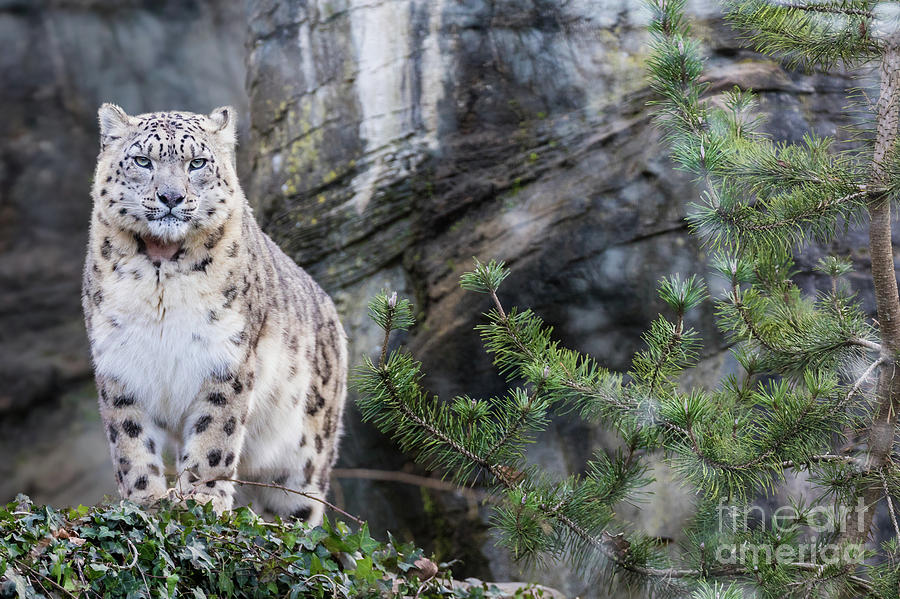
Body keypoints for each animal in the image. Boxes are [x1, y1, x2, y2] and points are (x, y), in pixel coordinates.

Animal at [81, 104, 347, 525]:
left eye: (197, 163)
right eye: (142, 160)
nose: (171, 196)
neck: (161, 271)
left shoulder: (226, 357)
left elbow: (214, 437)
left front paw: (201, 500)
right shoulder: (120, 361)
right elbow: (130, 439)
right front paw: (146, 500)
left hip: (305, 453)